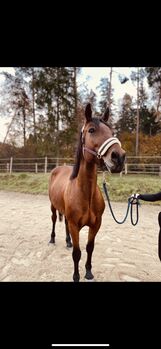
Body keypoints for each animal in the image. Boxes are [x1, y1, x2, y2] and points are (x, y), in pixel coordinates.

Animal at [48, 102, 126, 280]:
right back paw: (52, 239)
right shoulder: (75, 225)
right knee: (54, 220)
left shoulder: (96, 224)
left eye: (112, 132)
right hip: (53, 207)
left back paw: (68, 241)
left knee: (65, 225)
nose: (118, 157)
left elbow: (90, 248)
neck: (85, 194)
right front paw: (76, 276)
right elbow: (77, 253)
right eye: (91, 130)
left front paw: (89, 272)